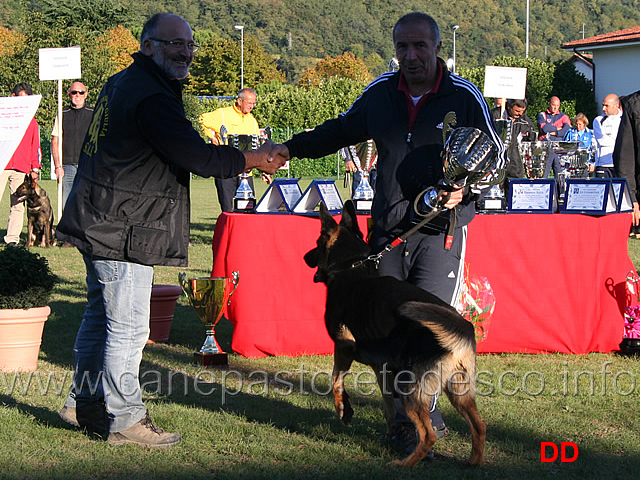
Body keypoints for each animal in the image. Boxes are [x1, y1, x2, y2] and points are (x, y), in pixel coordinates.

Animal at [304, 201, 484, 466]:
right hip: (458, 391)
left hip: (411, 388)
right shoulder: (383, 368)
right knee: (479, 427)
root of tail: (461, 327)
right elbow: (388, 405)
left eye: (318, 243)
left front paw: (343, 410)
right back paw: (473, 462)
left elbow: (336, 380)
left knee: (429, 435)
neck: (351, 267)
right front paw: (390, 434)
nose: (305, 257)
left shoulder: (343, 346)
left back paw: (405, 463)